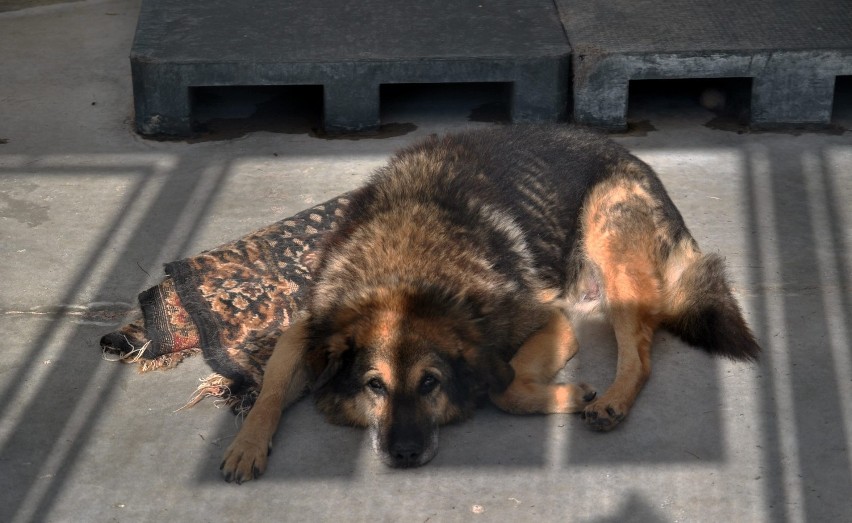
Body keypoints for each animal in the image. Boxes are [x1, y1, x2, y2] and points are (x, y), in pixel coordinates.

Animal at [220, 125, 760, 486]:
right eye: (375, 386)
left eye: (431, 384)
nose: (405, 454)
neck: (402, 274)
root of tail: (638, 162)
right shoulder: (307, 329)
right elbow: (270, 389)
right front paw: (245, 444)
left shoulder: (546, 321)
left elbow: (507, 388)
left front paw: (568, 394)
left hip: (609, 242)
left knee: (641, 353)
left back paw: (611, 400)